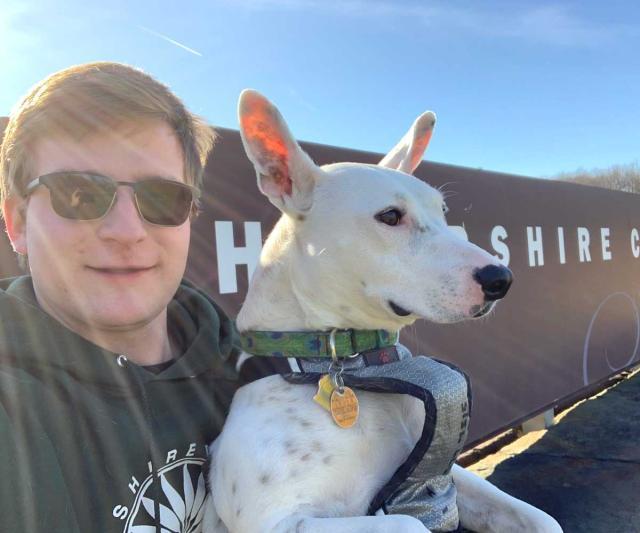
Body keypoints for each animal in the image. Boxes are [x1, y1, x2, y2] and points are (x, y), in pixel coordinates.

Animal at [205, 91, 560, 532]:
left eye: (443, 213)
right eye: (390, 216)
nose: (501, 279)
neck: (350, 367)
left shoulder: (443, 479)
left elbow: (540, 518)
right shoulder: (280, 521)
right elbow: (408, 522)